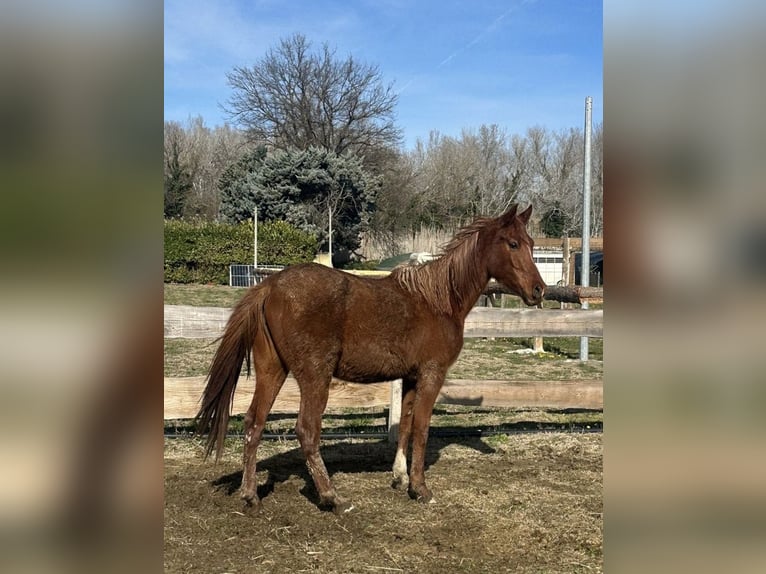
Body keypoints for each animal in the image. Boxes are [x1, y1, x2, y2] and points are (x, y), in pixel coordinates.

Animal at [195, 204, 545, 513]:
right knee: (307, 430)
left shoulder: (410, 377)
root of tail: (269, 285)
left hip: (272, 370)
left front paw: (399, 477)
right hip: (315, 376)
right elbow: (422, 428)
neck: (438, 300)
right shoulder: (432, 374)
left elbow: (404, 424)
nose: (539, 290)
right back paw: (332, 498)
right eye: (513, 244)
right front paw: (420, 488)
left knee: (254, 424)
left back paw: (251, 495)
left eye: (530, 244)